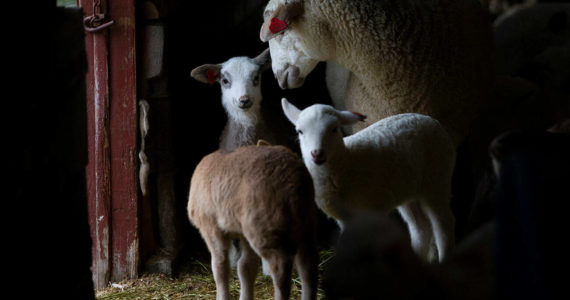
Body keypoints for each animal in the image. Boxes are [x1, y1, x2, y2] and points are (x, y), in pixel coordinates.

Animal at [282, 99, 454, 262]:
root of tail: (430, 120)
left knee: (443, 226)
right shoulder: (344, 218)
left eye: (334, 129)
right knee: (420, 227)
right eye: (300, 131)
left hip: (437, 177)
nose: (316, 153)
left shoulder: (373, 211)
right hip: (407, 189)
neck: (346, 164)